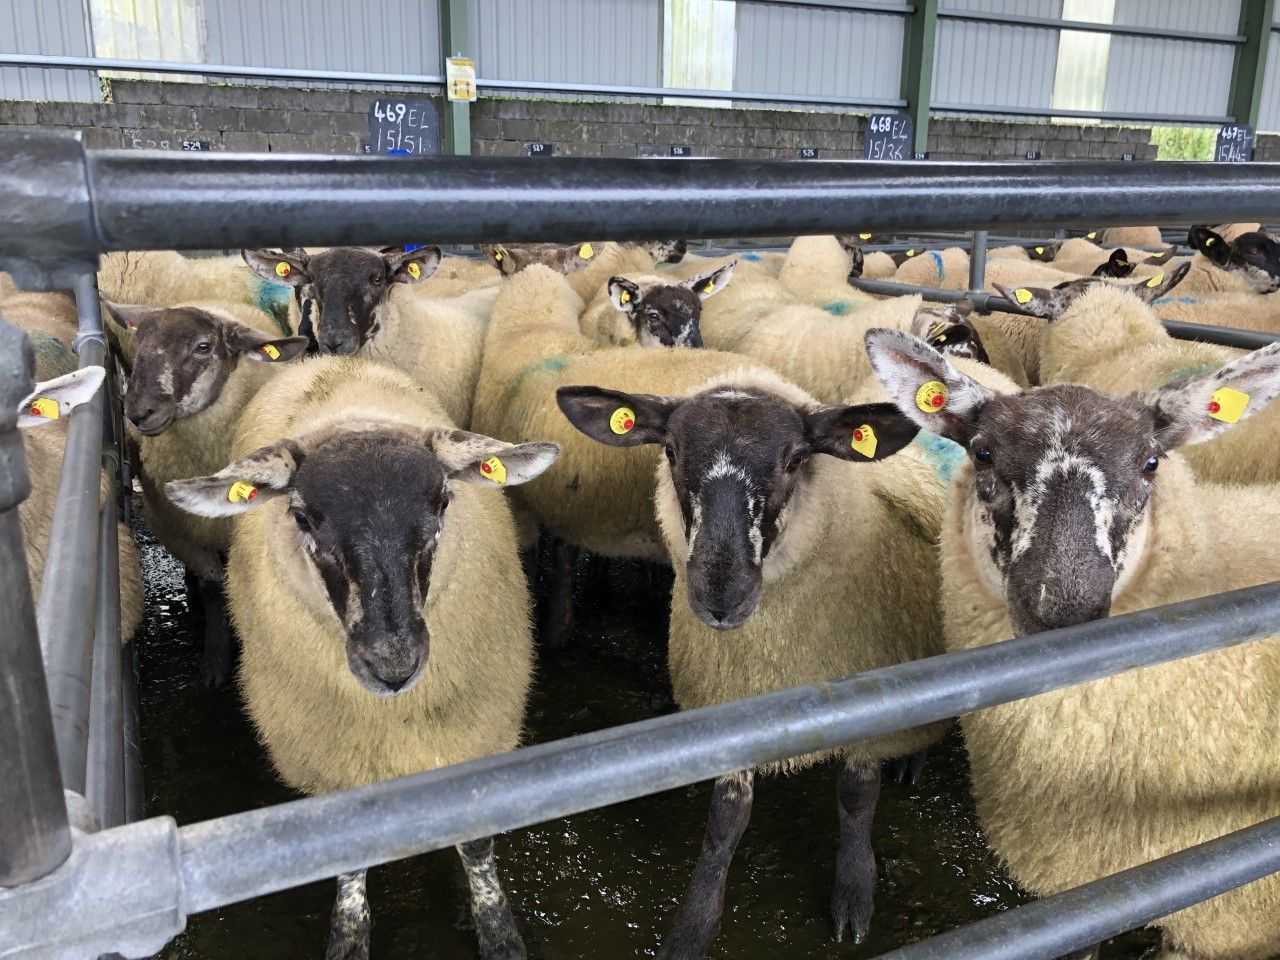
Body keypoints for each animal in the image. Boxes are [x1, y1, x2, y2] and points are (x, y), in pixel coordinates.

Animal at [105, 300, 308, 684]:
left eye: (203, 347)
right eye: (140, 342)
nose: (138, 413)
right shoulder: (177, 529)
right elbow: (213, 587)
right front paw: (215, 658)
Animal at [166, 355, 559, 960]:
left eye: (443, 502)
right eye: (302, 518)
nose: (392, 663)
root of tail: (328, 361)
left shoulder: (474, 734)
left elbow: (475, 848)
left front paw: (499, 934)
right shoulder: (335, 758)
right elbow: (349, 857)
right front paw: (348, 937)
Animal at [556, 357, 1019, 957]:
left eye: (797, 459)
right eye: (671, 452)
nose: (720, 595)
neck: (776, 655)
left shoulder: (871, 699)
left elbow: (856, 798)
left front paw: (853, 894)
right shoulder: (730, 701)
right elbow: (725, 821)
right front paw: (692, 928)